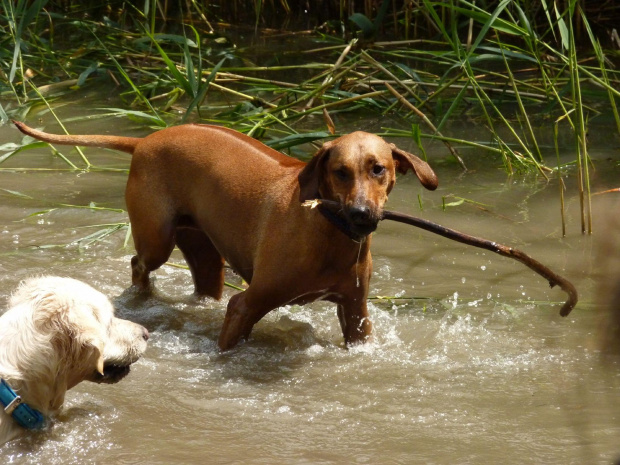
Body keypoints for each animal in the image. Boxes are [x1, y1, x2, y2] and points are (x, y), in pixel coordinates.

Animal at [10, 121, 436, 350]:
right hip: (157, 238)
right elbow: (229, 340)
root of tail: (146, 139)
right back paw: (142, 298)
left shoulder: (356, 313)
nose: (361, 214)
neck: (327, 230)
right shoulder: (245, 305)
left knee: (203, 283)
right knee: (139, 264)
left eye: (378, 168)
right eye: (340, 172)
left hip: (204, 254)